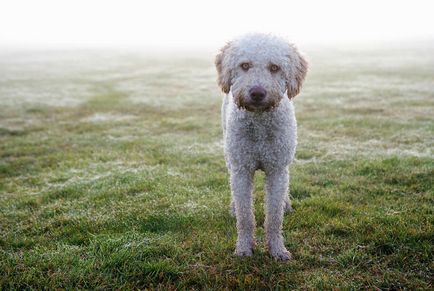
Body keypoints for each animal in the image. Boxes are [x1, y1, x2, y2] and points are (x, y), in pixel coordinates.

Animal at [215, 33, 306, 262]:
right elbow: (245, 216)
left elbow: (274, 216)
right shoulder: (241, 170)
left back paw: (286, 204)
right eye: (245, 65)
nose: (257, 93)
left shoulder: (277, 169)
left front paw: (277, 250)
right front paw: (244, 248)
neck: (259, 124)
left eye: (274, 67)